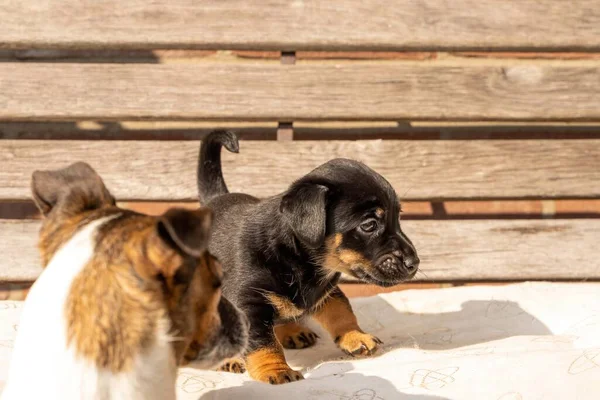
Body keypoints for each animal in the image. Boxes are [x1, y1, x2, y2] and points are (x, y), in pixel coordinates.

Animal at [199, 131, 420, 384]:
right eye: (369, 225)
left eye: (398, 217)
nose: (414, 263)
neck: (301, 261)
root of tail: (213, 199)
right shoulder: (249, 304)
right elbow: (262, 342)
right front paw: (275, 370)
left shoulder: (326, 290)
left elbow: (342, 311)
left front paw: (356, 336)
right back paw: (227, 359)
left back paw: (293, 331)